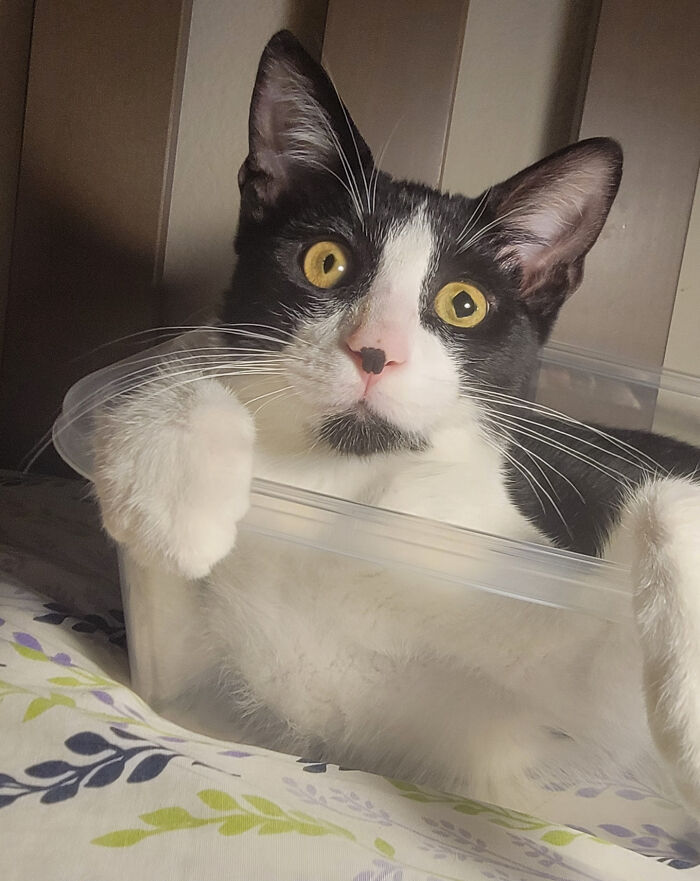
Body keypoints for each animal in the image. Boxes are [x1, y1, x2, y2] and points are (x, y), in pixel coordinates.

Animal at [90, 29, 700, 824]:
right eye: (324, 261)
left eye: (463, 304)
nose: (376, 351)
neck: (347, 483)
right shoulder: (188, 682)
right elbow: (179, 359)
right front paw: (176, 510)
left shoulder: (562, 719)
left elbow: (659, 523)